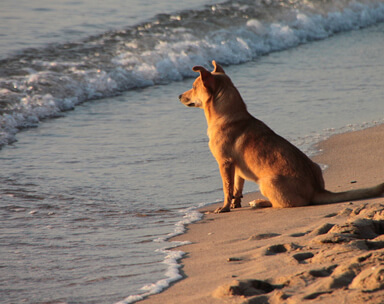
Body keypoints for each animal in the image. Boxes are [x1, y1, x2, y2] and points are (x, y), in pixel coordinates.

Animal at [178, 61, 382, 214]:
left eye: (194, 87)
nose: (179, 95)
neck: (228, 115)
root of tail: (317, 190)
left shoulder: (225, 163)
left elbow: (227, 189)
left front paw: (225, 207)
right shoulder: (235, 166)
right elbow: (237, 186)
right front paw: (236, 204)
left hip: (266, 182)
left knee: (282, 204)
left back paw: (259, 202)